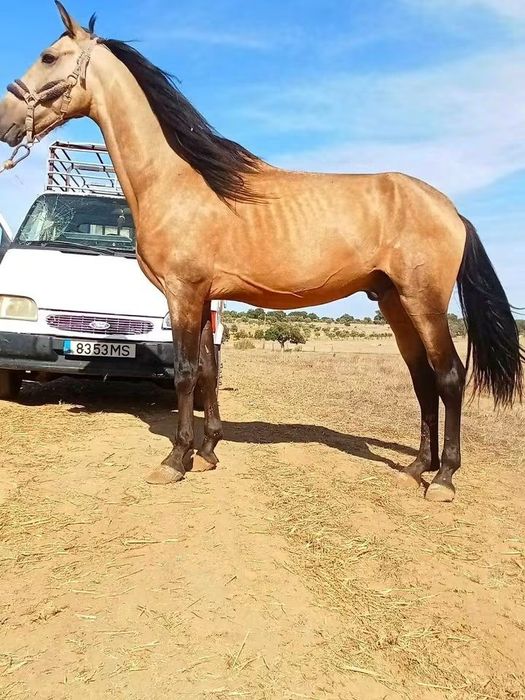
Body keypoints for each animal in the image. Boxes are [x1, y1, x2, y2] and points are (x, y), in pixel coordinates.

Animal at [0, 2, 522, 502]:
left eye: (48, 57)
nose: (6, 122)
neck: (177, 181)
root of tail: (451, 210)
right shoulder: (204, 297)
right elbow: (208, 370)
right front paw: (208, 451)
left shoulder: (183, 293)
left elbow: (185, 373)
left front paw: (176, 460)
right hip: (395, 302)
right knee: (422, 378)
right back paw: (417, 467)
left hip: (423, 301)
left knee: (449, 375)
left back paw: (444, 478)